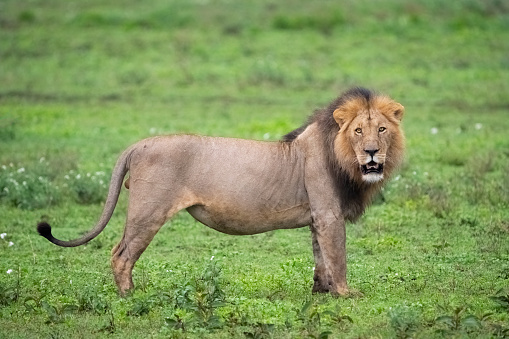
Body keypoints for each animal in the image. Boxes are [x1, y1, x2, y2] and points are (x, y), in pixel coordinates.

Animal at [37, 88, 404, 298]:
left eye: (381, 129)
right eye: (358, 131)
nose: (372, 152)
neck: (344, 158)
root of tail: (137, 145)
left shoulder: (318, 217)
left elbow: (321, 258)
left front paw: (321, 293)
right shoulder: (329, 214)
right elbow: (338, 257)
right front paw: (346, 294)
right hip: (148, 211)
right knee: (121, 254)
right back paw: (131, 297)